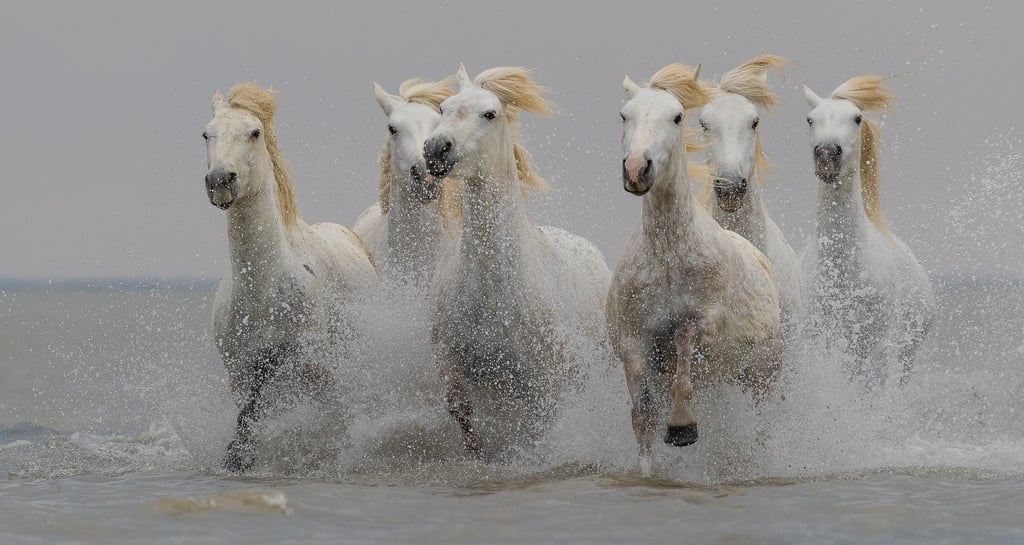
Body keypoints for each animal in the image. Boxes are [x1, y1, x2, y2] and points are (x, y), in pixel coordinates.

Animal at [203, 83, 378, 472]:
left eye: (254, 132)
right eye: (206, 133)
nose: (220, 181)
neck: (263, 290)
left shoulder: (311, 368)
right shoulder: (240, 376)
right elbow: (248, 419)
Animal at [423, 65, 612, 457]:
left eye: (489, 114)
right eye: (443, 108)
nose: (435, 149)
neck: (493, 287)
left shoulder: (543, 383)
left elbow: (536, 430)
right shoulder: (451, 362)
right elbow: (461, 410)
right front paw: (479, 454)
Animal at [606, 64, 782, 476]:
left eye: (676, 116)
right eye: (624, 115)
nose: (636, 169)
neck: (669, 256)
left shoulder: (709, 322)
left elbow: (684, 338)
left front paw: (682, 426)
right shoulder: (633, 344)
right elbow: (643, 418)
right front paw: (649, 472)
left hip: (762, 375)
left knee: (764, 423)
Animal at [803, 76, 935, 387]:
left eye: (857, 118)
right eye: (810, 119)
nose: (826, 154)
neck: (843, 271)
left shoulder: (873, 349)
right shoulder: (819, 339)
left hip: (903, 356)